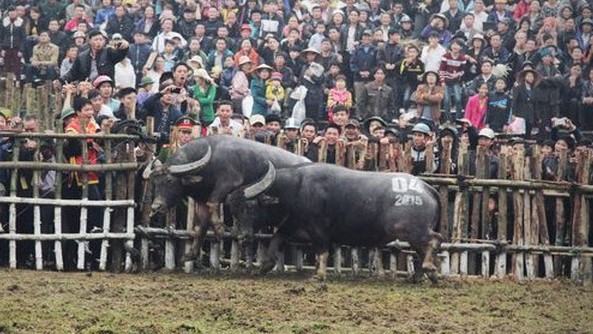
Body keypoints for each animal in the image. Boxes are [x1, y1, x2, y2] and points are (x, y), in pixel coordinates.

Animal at [148, 136, 310, 260]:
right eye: (155, 182)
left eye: (169, 180)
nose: (156, 207)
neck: (211, 161)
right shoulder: (201, 200)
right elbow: (201, 226)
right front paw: (191, 254)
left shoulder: (228, 183)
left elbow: (213, 202)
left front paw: (220, 229)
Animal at [243, 163, 442, 284]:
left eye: (250, 206)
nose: (243, 234)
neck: (296, 189)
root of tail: (426, 187)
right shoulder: (291, 226)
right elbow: (275, 239)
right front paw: (264, 266)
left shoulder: (319, 231)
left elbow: (322, 252)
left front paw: (319, 275)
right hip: (412, 235)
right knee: (422, 250)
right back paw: (420, 276)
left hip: (411, 230)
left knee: (435, 239)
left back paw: (428, 268)